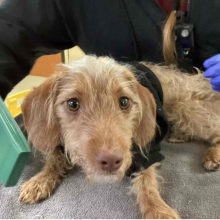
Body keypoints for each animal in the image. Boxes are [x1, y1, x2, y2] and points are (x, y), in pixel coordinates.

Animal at [18, 55, 220, 218]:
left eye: (124, 101)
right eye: (72, 103)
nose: (111, 161)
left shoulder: (145, 150)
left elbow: (146, 181)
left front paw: (158, 210)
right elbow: (54, 159)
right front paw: (40, 180)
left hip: (187, 110)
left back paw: (213, 154)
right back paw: (179, 135)